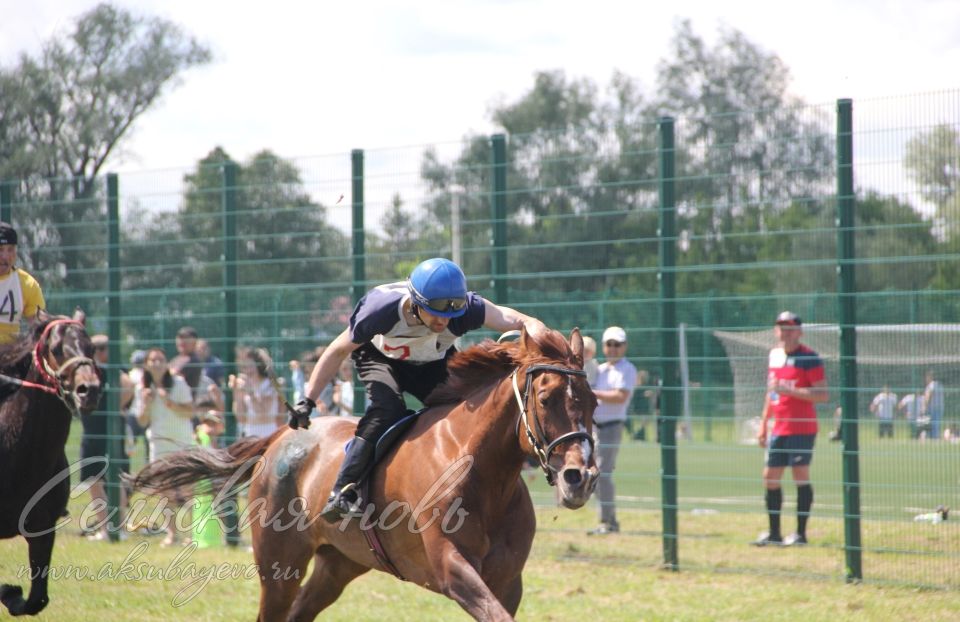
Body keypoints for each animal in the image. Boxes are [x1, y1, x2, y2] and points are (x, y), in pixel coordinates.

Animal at [0, 312, 101, 620]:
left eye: (91, 346)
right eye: (56, 349)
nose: (88, 390)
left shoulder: (42, 530)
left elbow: (37, 599)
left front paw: (10, 593)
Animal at [133, 330, 600, 620]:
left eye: (593, 400)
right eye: (545, 398)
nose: (580, 477)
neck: (481, 472)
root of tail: (280, 435)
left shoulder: (507, 582)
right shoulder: (452, 569)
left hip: (339, 564)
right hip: (279, 565)